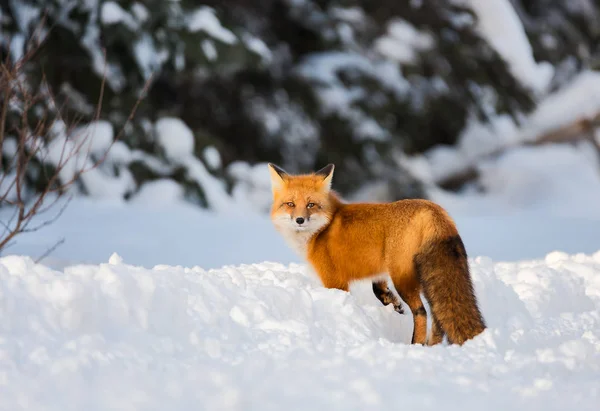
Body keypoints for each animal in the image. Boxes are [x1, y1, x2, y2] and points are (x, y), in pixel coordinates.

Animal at [270, 163, 486, 346]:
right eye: (290, 204)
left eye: (311, 205)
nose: (299, 220)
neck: (323, 228)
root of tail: (432, 209)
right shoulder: (378, 272)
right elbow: (378, 290)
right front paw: (394, 305)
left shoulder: (334, 280)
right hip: (427, 278)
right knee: (437, 316)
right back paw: (432, 346)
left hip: (402, 277)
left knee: (422, 312)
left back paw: (416, 345)